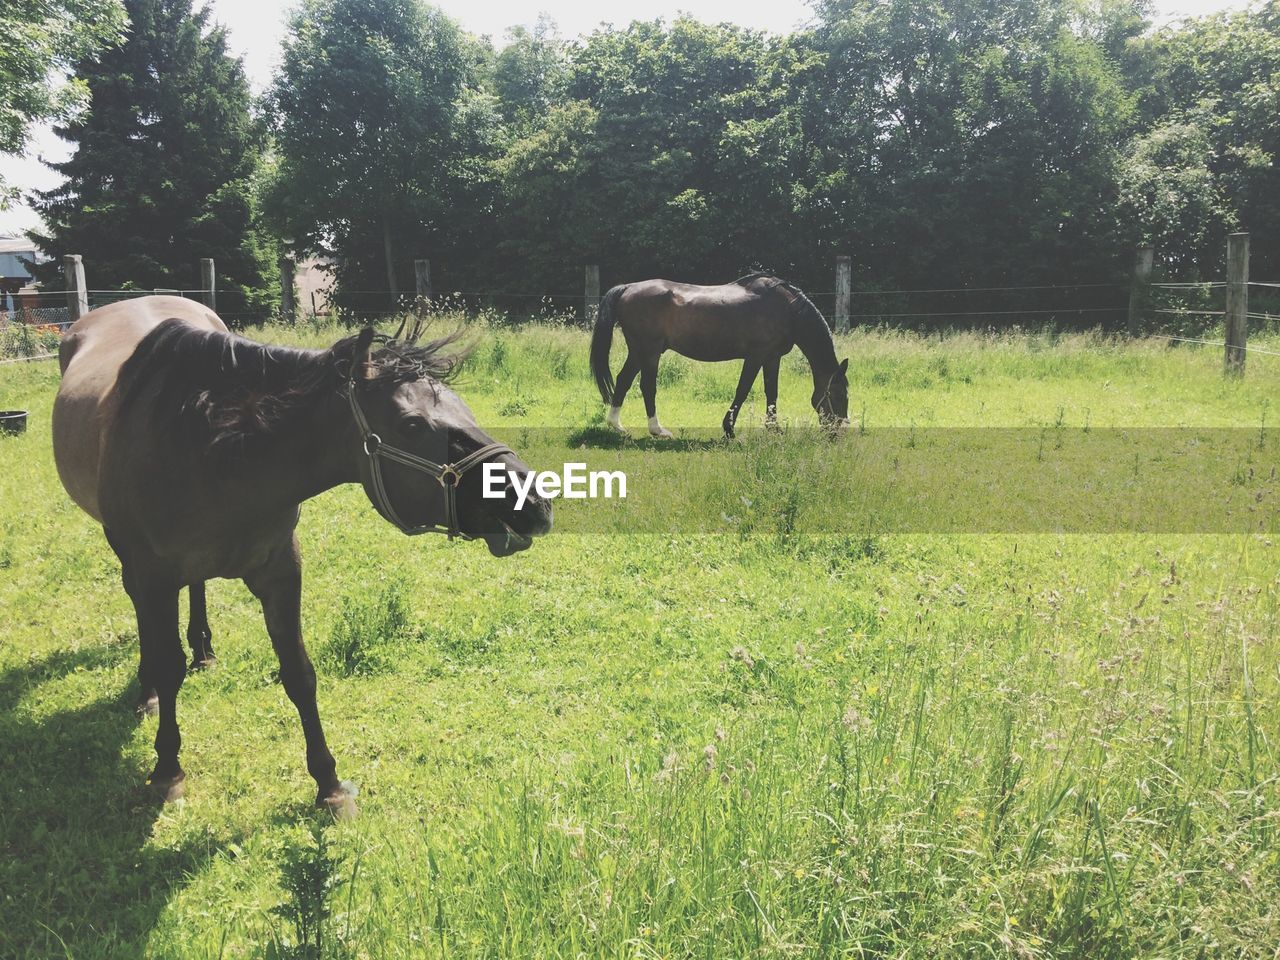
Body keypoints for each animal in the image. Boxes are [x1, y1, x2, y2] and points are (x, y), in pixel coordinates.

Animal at [52, 296, 552, 814]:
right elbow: (170, 669)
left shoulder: (280, 571)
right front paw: (168, 768)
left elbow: (299, 673)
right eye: (413, 425)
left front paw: (328, 784)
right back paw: (148, 686)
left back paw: (204, 649)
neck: (209, 449)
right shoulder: (154, 577)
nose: (536, 502)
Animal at [588, 273, 849, 440]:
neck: (786, 309)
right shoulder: (755, 356)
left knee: (623, 380)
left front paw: (773, 429)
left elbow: (771, 393)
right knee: (647, 386)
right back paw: (657, 430)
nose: (838, 431)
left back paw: (617, 426)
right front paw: (729, 430)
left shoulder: (772, 358)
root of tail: (628, 287)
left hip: (638, 351)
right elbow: (742, 390)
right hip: (649, 350)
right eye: (838, 394)